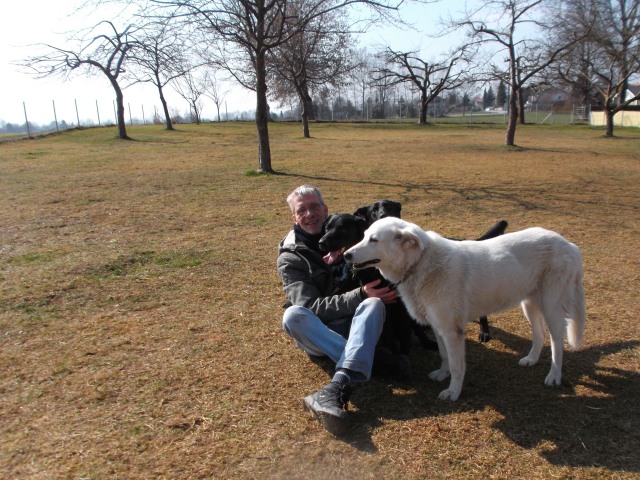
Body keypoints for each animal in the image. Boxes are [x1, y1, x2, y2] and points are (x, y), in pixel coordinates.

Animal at [344, 218, 584, 402]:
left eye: (374, 240)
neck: (421, 264)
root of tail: (569, 244)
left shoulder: (452, 331)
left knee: (557, 340)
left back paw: (554, 376)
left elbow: (457, 366)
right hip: (530, 304)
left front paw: (453, 392)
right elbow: (444, 356)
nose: (346, 255)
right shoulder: (439, 327)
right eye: (364, 236)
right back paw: (531, 359)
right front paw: (443, 374)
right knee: (539, 334)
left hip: (550, 306)